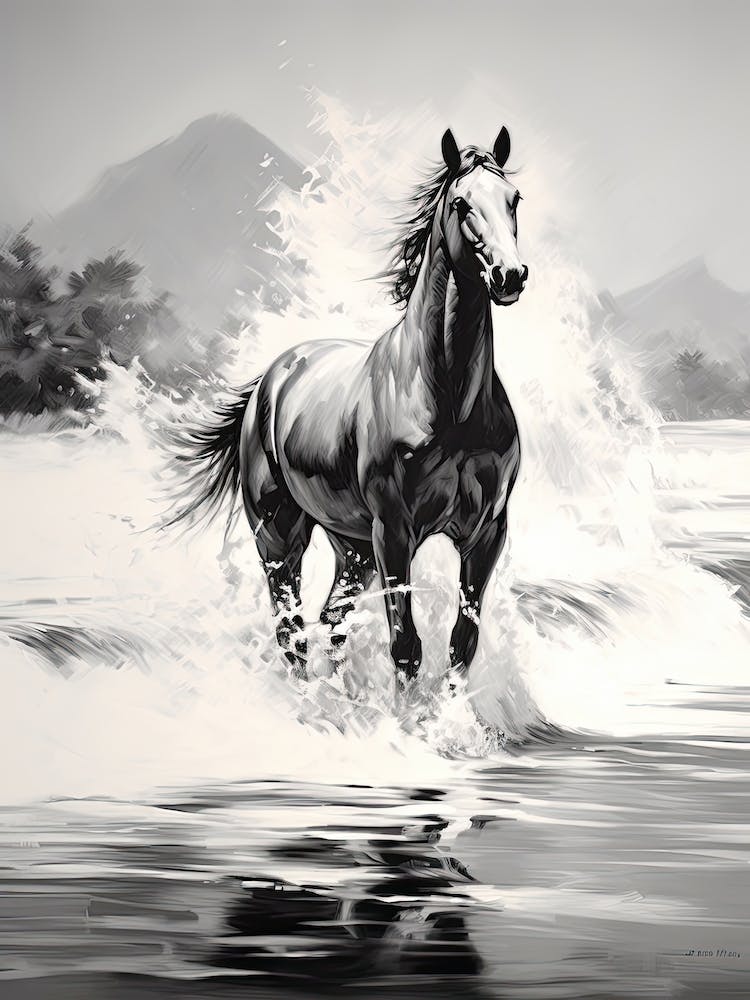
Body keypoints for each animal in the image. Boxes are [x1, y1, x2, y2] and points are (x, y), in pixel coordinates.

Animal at [170, 126, 527, 684]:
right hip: (279, 536)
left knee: (331, 619)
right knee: (291, 627)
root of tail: (269, 381)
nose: (509, 275)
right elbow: (406, 646)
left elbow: (460, 644)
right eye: (462, 203)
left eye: (514, 199)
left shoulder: (486, 533)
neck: (448, 405)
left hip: (352, 546)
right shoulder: (394, 533)